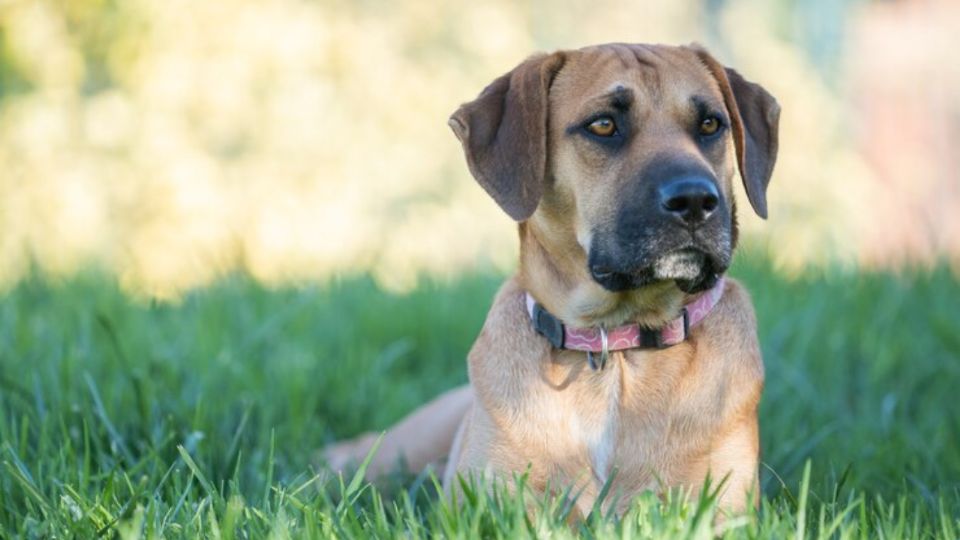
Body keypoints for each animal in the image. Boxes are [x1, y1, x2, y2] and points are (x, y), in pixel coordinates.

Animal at [326, 42, 776, 516]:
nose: (695, 200)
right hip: (401, 446)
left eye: (710, 124)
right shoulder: (485, 505)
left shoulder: (718, 507)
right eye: (603, 125)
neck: (614, 346)